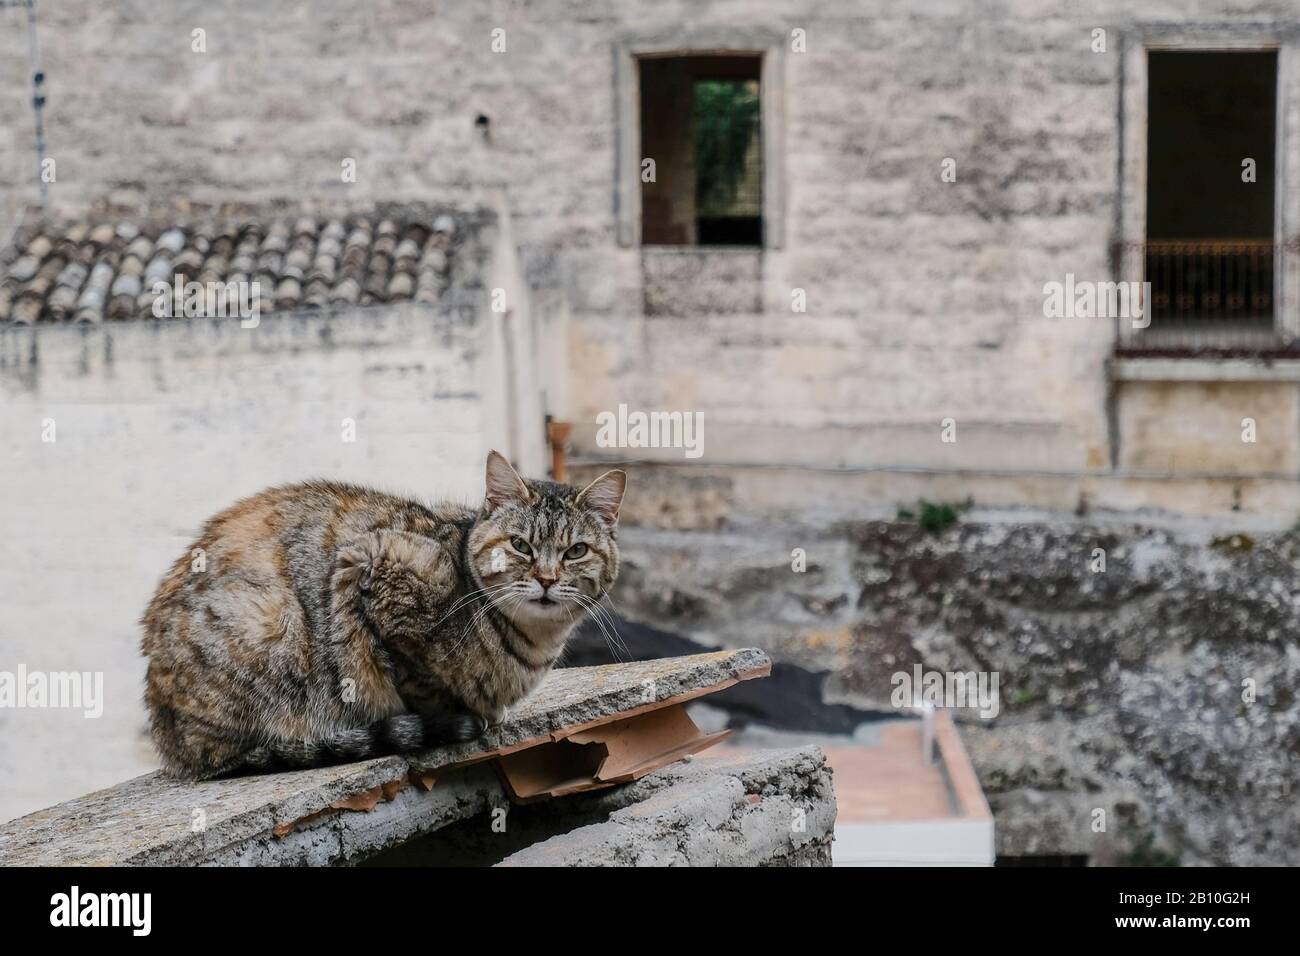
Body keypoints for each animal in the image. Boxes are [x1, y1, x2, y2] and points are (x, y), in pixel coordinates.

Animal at [139, 452, 626, 780]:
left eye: (576, 551)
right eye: (520, 545)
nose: (546, 578)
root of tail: (169, 739)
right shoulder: (370, 565)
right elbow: (414, 676)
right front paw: (460, 714)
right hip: (269, 624)